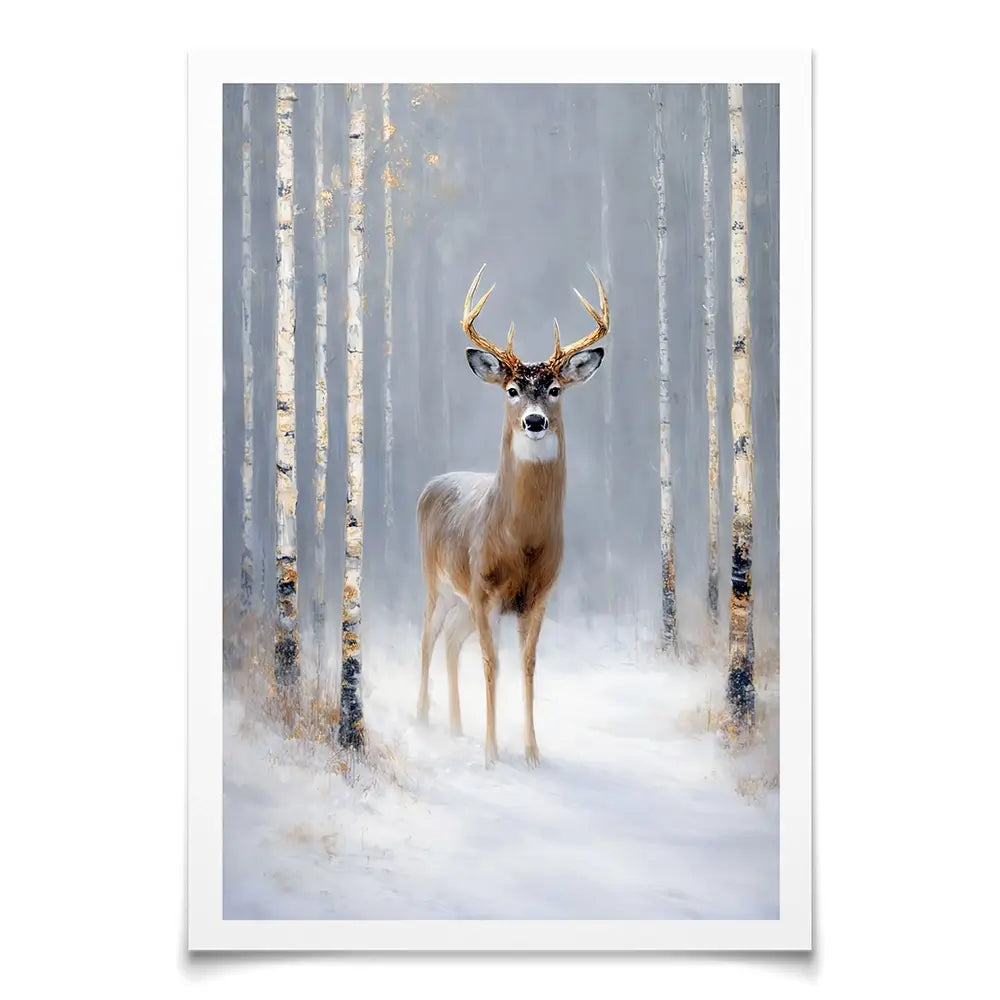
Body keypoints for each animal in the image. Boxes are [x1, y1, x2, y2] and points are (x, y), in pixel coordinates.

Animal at [416, 264, 609, 768]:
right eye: (512, 389)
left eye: (556, 389)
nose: (535, 421)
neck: (520, 543)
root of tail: (430, 484)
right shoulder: (484, 591)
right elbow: (491, 664)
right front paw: (490, 754)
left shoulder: (537, 596)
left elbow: (527, 665)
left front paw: (531, 753)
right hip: (438, 582)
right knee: (427, 637)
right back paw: (423, 718)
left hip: (462, 601)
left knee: (450, 641)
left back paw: (456, 726)